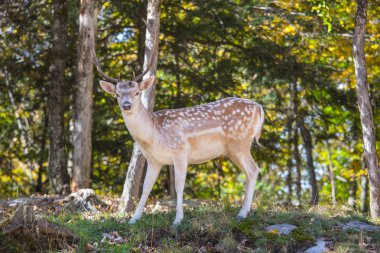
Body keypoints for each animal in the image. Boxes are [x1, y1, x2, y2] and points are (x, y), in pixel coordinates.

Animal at [93, 44, 264, 227]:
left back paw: (242, 214)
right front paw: (133, 219)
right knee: (251, 171)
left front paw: (177, 220)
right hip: (235, 148)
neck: (154, 136)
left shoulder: (180, 152)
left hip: (240, 144)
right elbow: (145, 188)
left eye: (137, 92)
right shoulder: (154, 160)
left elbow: (179, 186)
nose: (126, 105)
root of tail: (259, 107)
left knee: (253, 169)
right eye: (117, 94)